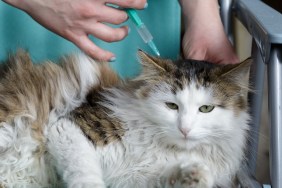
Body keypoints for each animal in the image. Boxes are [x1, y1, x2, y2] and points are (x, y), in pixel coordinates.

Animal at [0, 50, 251, 188]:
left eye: (206, 108)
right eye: (171, 105)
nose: (185, 129)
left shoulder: (132, 178)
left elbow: (165, 177)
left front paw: (195, 176)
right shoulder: (68, 127)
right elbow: (84, 172)